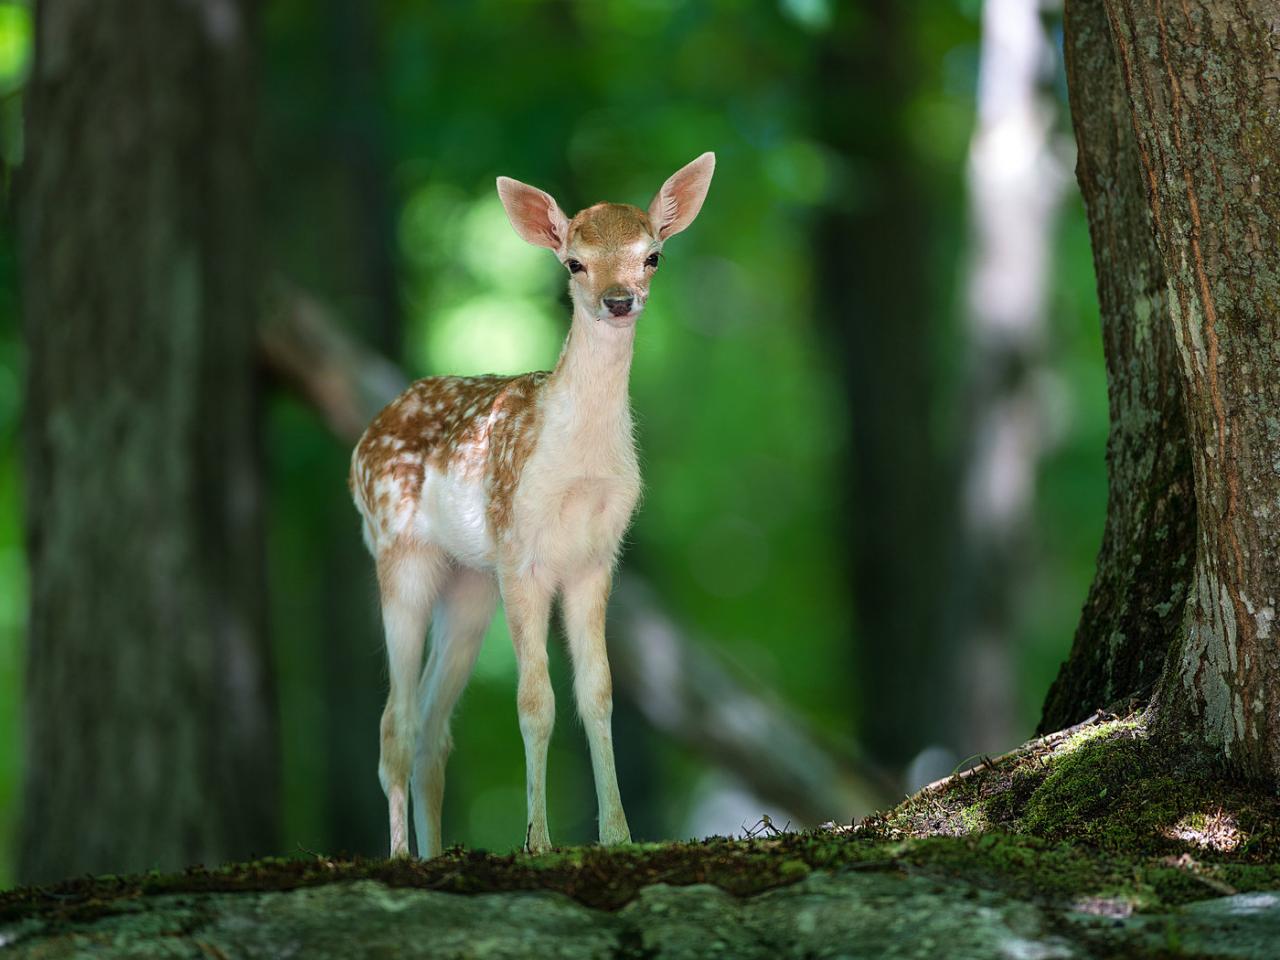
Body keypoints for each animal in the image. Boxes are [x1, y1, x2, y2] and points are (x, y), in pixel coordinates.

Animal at [348, 154, 711, 860]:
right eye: (574, 262)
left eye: (652, 255)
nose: (618, 300)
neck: (577, 463)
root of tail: (362, 442)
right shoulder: (521, 552)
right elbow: (535, 701)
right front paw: (538, 840)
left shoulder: (597, 558)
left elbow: (597, 694)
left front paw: (619, 836)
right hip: (399, 551)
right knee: (393, 721)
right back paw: (401, 855)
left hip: (469, 583)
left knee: (433, 728)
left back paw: (434, 852)